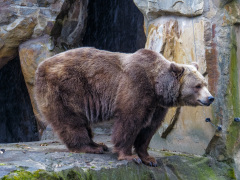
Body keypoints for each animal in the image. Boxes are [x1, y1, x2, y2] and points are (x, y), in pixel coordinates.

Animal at [34, 47, 214, 166]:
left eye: (205, 83)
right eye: (197, 86)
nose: (210, 98)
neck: (157, 86)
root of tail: (41, 65)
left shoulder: (157, 105)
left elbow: (149, 129)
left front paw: (149, 158)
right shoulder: (136, 86)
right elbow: (129, 122)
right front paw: (129, 156)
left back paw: (98, 144)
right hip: (67, 88)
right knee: (71, 121)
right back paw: (90, 147)